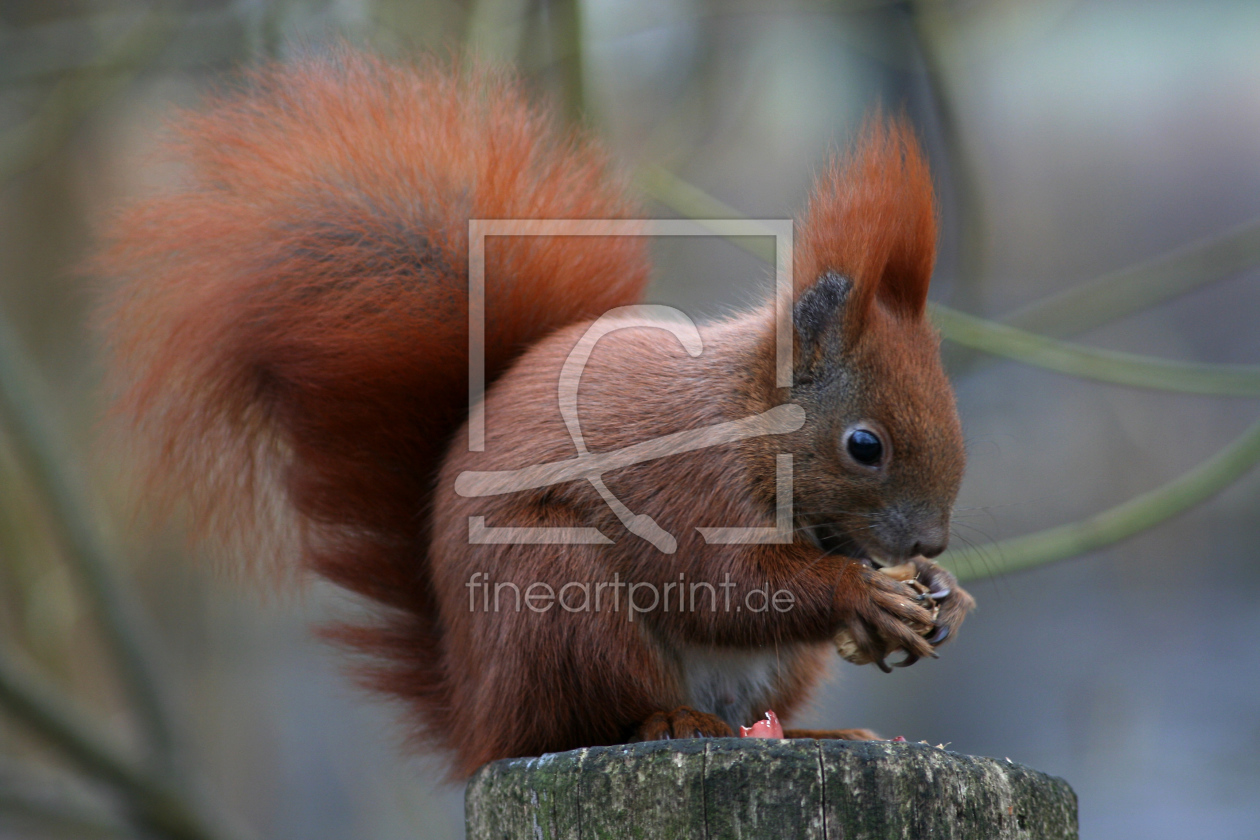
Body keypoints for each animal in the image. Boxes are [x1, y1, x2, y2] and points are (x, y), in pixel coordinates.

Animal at [100, 49, 972, 780]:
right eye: (865, 445)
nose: (930, 542)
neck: (749, 421)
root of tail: (477, 720)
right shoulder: (686, 483)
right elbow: (726, 587)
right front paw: (866, 596)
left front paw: (943, 595)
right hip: (552, 594)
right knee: (588, 719)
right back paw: (669, 722)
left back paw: (814, 731)